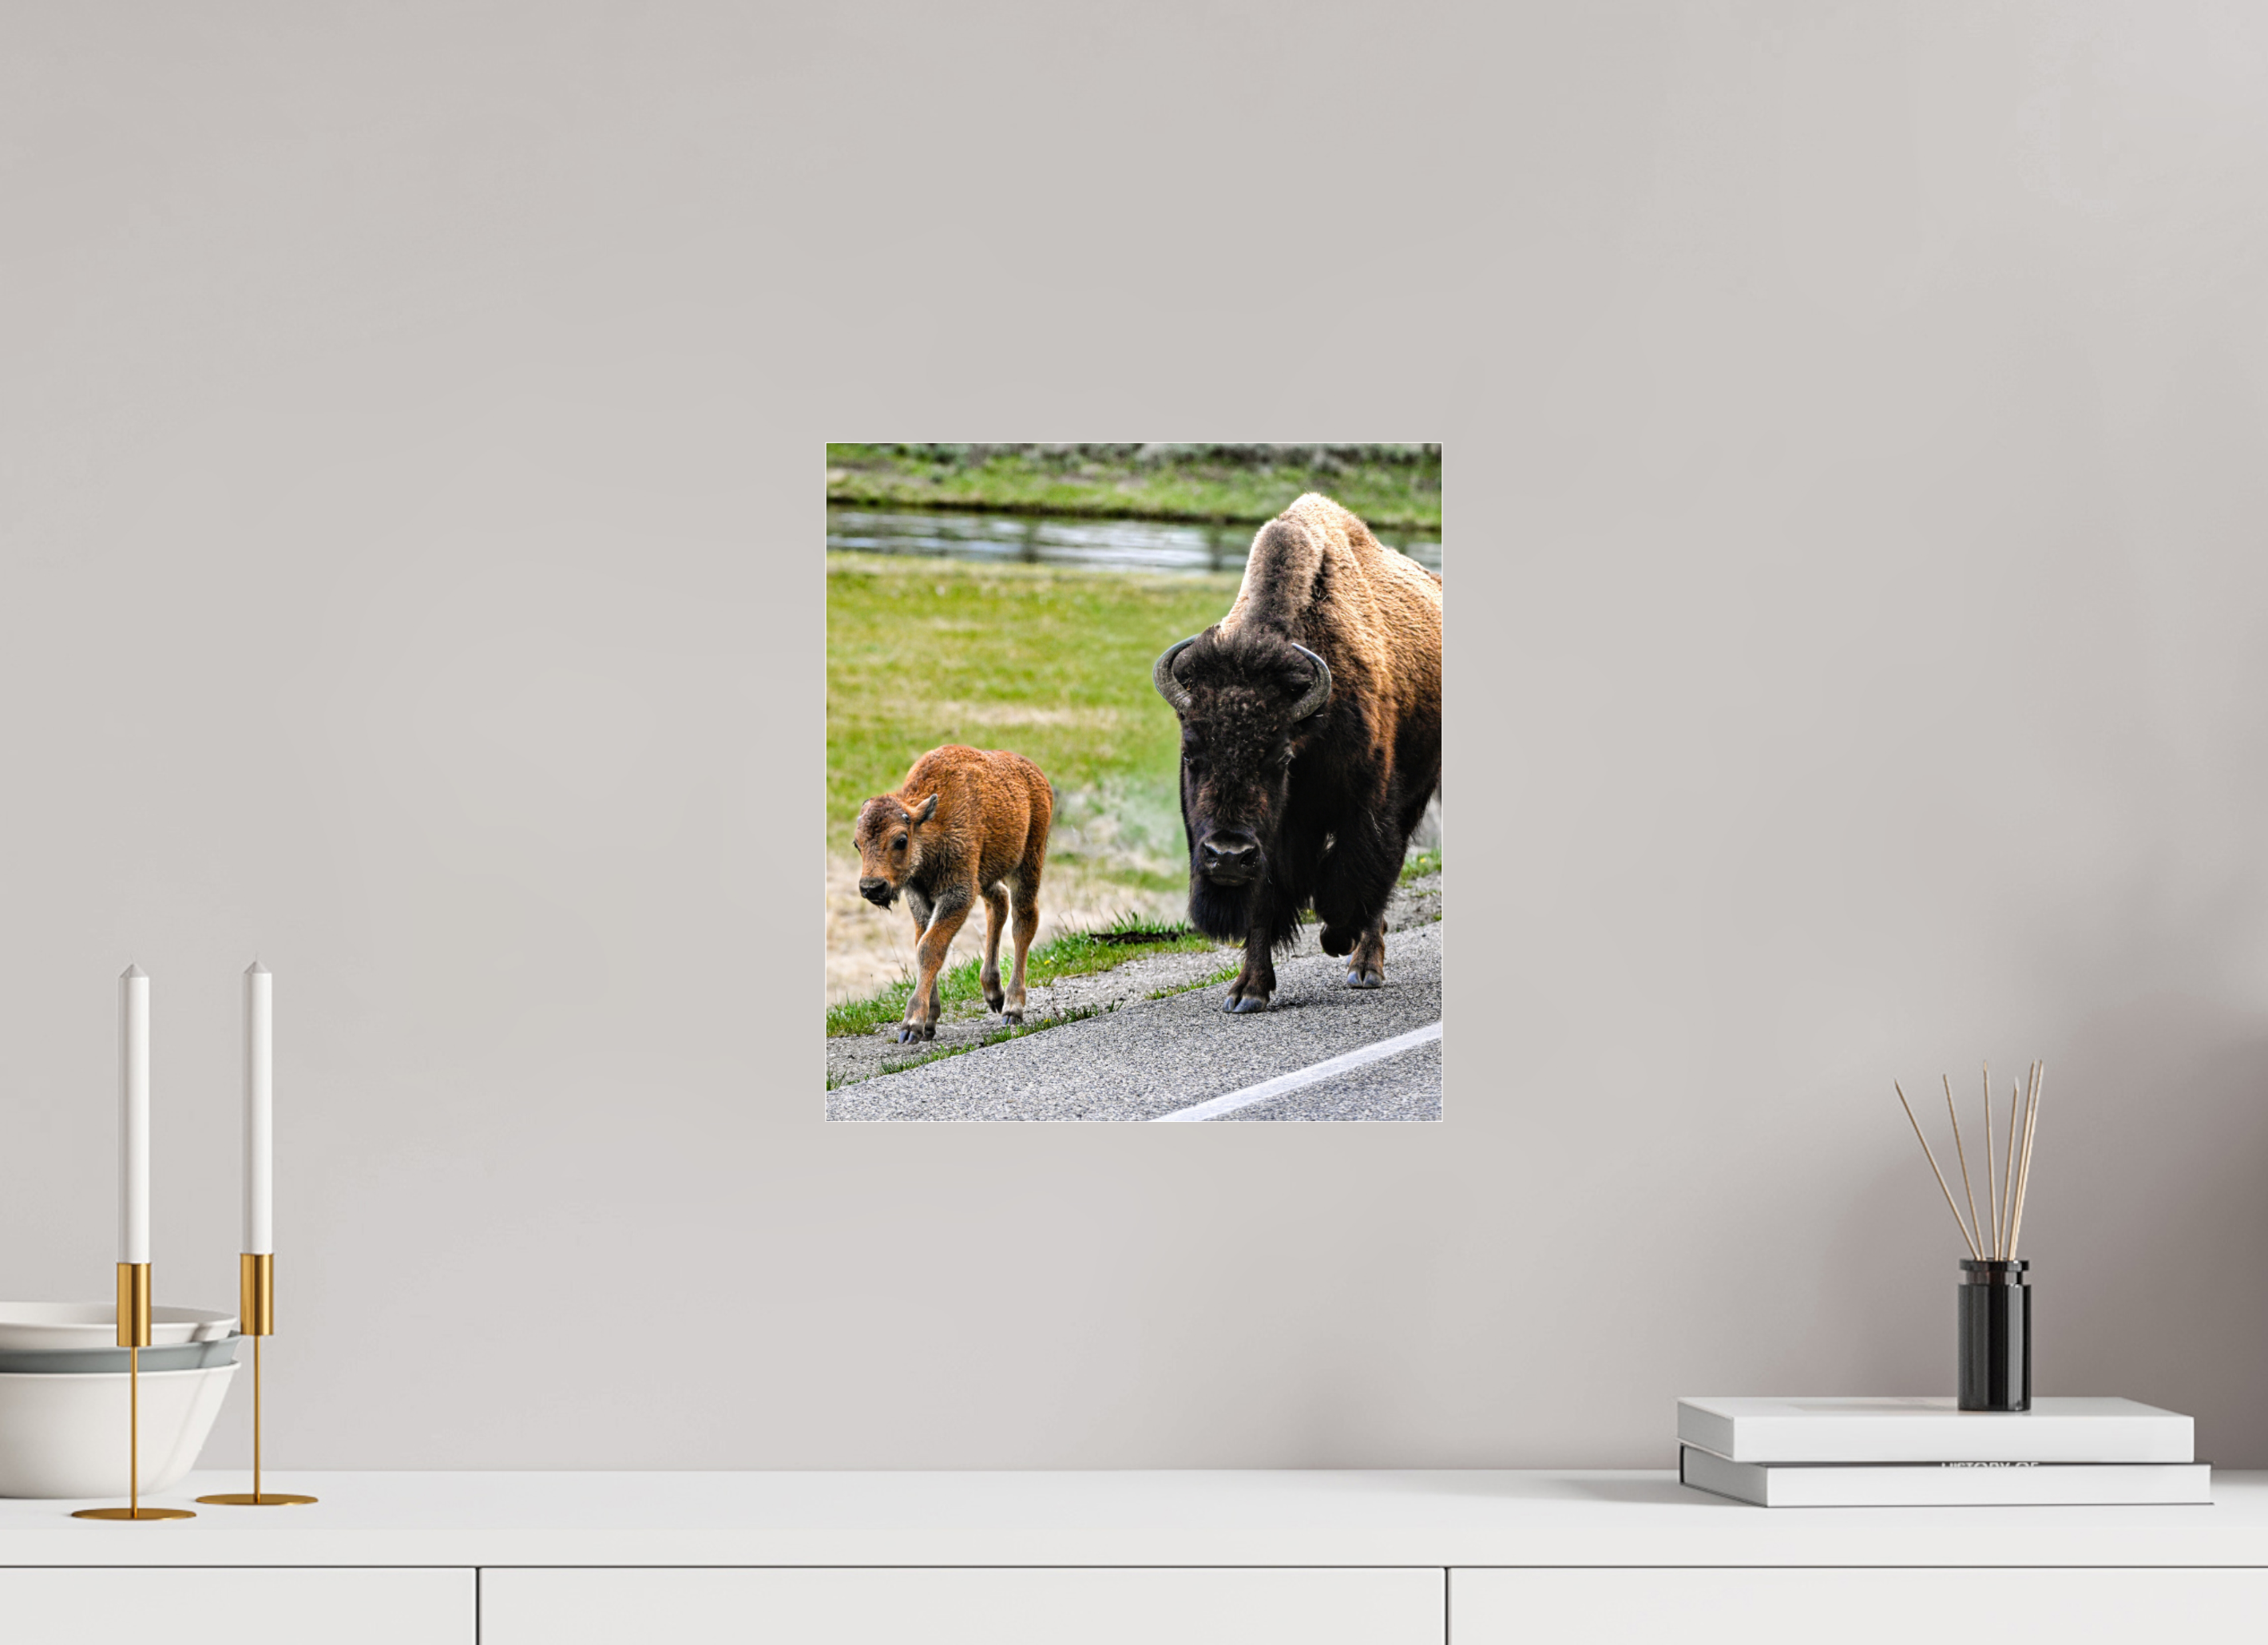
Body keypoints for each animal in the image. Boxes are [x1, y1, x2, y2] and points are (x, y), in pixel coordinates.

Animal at [853, 745, 1053, 1043]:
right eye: (857, 844)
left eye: (901, 840)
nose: (872, 887)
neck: (930, 825)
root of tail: (1036, 774)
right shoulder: (922, 900)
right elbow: (922, 943)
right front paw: (929, 1021)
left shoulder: (957, 895)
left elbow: (929, 948)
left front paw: (912, 1025)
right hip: (986, 875)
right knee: (999, 903)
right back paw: (993, 993)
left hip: (1028, 863)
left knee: (1023, 922)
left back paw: (1012, 1008)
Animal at [1152, 494, 1441, 1013]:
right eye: (1190, 753)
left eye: (1281, 758)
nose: (1227, 856)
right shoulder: (1271, 842)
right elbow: (1262, 904)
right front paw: (1247, 992)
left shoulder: (1366, 805)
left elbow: (1354, 877)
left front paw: (1335, 938)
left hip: (1415, 792)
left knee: (1381, 880)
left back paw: (1363, 966)